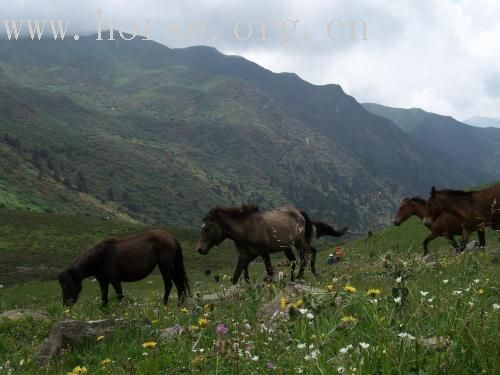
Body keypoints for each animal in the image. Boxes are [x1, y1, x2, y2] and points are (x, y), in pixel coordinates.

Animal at [58, 231, 189, 306]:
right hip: (170, 267)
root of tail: (172, 237)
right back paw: (179, 304)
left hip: (164, 266)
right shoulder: (103, 282)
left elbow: (119, 296)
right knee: (179, 284)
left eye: (68, 284)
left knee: (169, 285)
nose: (66, 304)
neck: (100, 257)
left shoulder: (115, 280)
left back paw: (164, 304)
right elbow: (104, 298)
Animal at [194, 206, 348, 284]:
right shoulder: (245, 255)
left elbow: (269, 271)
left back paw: (300, 277)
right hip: (288, 246)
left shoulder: (263, 252)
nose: (200, 249)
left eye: (207, 228)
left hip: (298, 242)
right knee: (301, 257)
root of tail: (300, 213)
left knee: (305, 255)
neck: (245, 229)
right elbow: (237, 276)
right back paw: (300, 277)